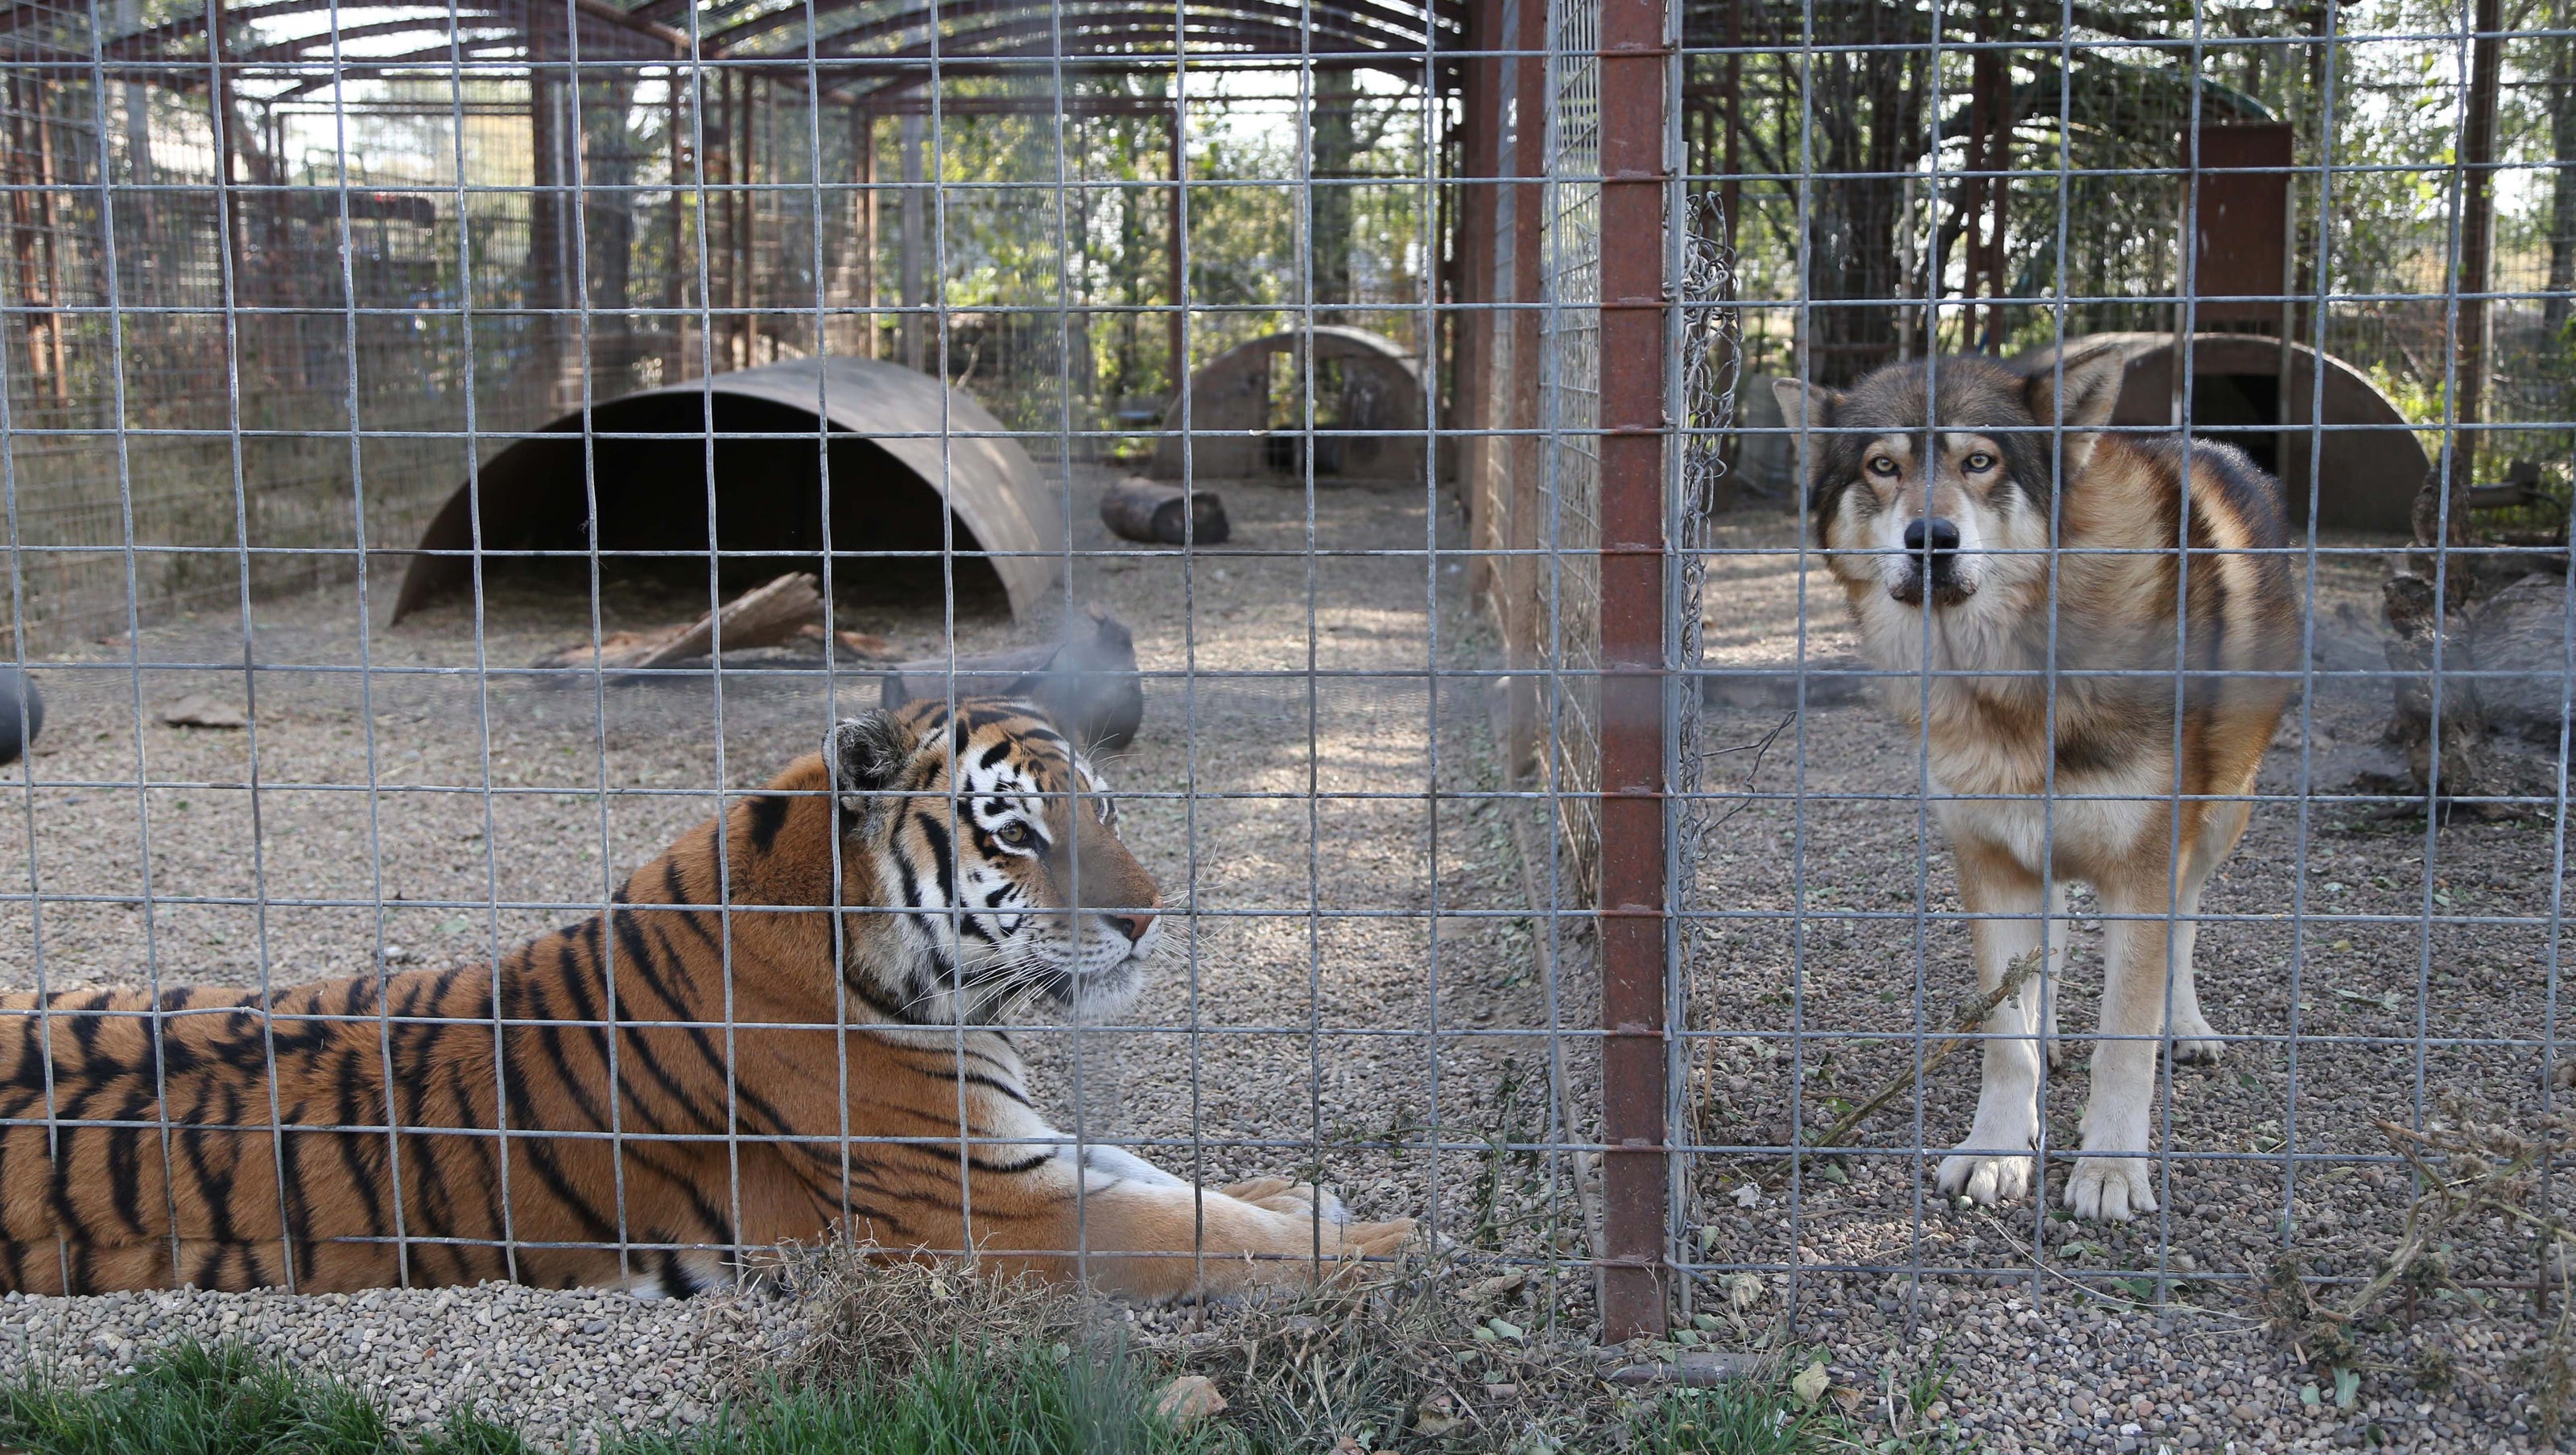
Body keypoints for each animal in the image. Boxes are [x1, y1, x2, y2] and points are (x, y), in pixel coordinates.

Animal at [0, 695, 1422, 1297]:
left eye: (1107, 813)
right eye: (1019, 833)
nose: (1147, 914)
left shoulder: (1014, 1152)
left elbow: (1169, 1176)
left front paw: (1300, 1194)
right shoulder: (982, 1210)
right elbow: (1190, 1231)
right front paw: (1389, 1247)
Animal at [1782, 344, 2308, 1220]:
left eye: (1980, 461)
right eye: (1882, 466)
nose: (1931, 540)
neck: (2011, 681)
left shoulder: (2142, 869)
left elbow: (2125, 1040)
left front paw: (2110, 1171)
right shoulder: (1992, 863)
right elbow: (2006, 1040)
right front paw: (1998, 1148)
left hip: (2219, 818)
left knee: (2186, 925)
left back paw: (2187, 1028)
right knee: (2052, 945)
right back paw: (2053, 1032)